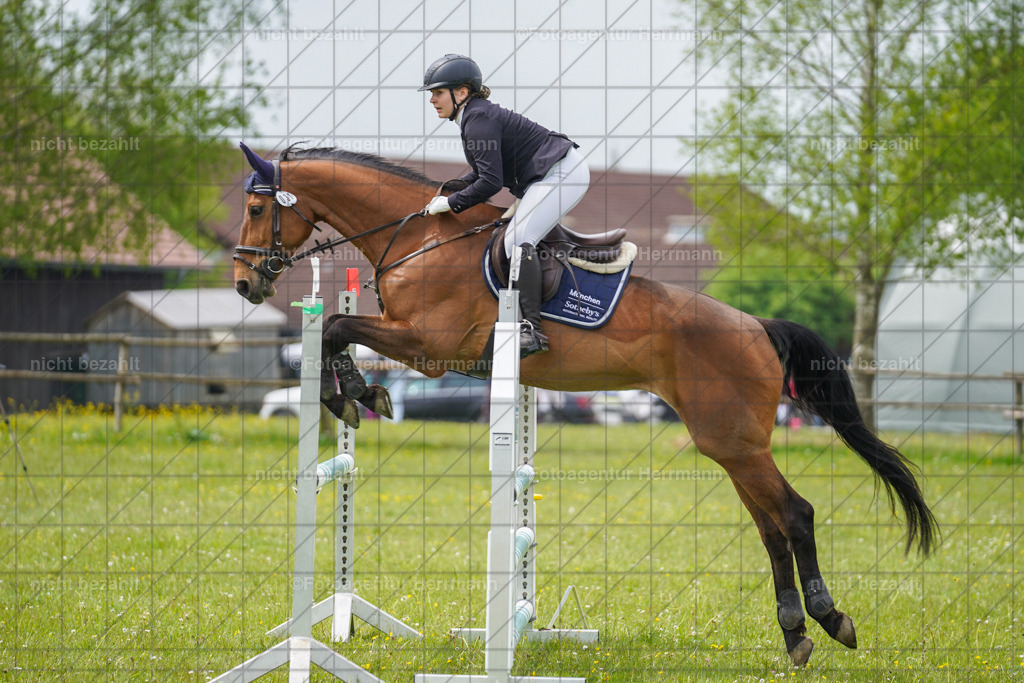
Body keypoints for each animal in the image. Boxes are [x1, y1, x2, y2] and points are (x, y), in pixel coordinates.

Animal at [232, 142, 938, 667]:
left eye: (257, 205)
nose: (244, 283)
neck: (419, 240)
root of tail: (759, 327)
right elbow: (335, 330)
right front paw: (358, 394)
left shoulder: (431, 348)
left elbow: (334, 328)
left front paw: (354, 394)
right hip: (733, 446)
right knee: (771, 528)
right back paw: (794, 633)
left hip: (735, 442)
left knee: (795, 515)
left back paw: (829, 619)